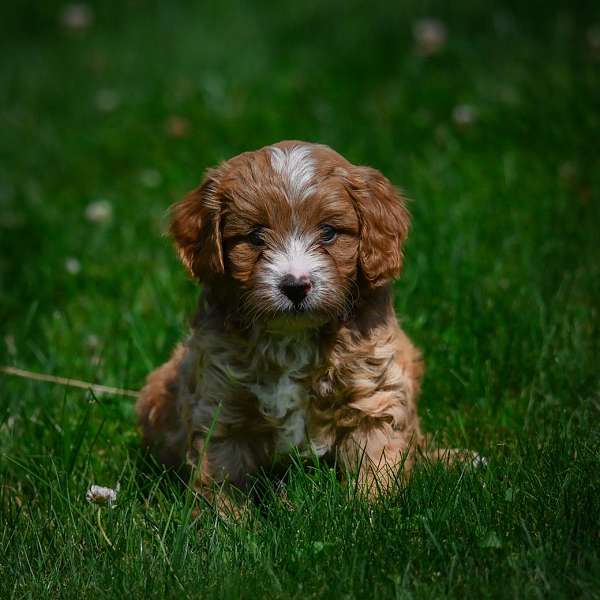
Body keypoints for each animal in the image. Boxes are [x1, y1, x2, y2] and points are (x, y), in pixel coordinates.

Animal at [137, 139, 478, 506]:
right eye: (255, 236)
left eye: (328, 232)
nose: (295, 286)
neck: (293, 337)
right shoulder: (221, 400)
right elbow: (221, 474)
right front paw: (223, 518)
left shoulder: (373, 393)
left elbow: (377, 462)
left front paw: (370, 510)